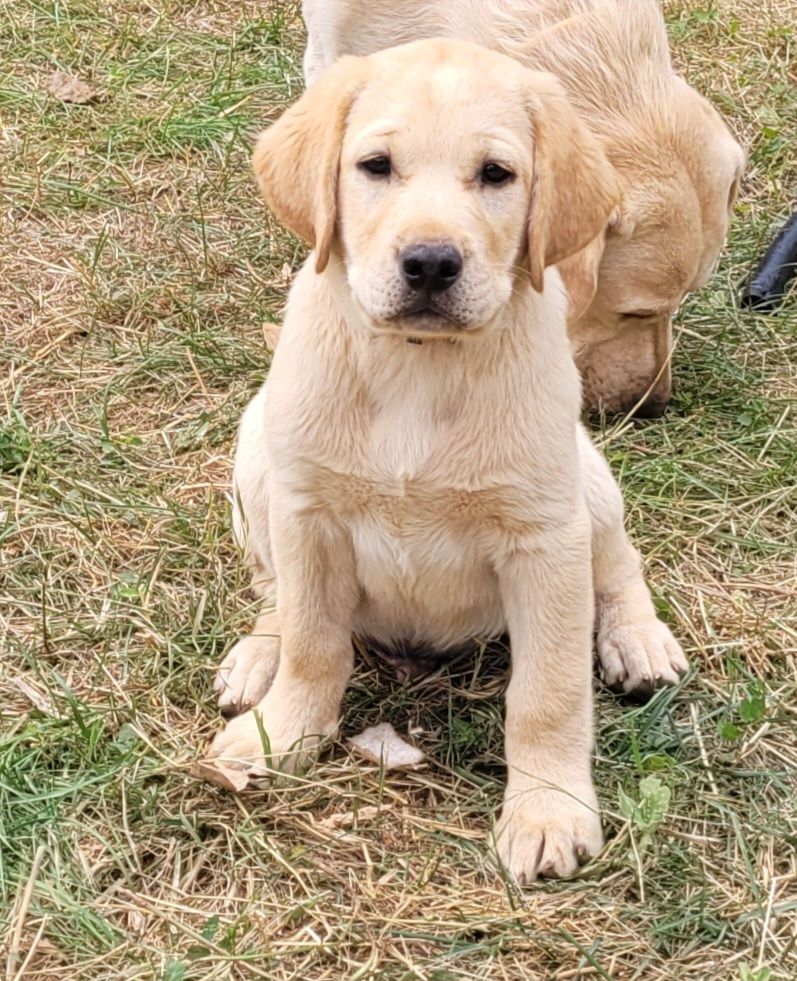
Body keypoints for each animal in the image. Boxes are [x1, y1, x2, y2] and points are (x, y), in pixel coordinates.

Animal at [208, 38, 688, 880]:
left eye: (495, 174)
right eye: (374, 166)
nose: (430, 263)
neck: (416, 365)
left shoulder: (543, 539)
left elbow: (548, 694)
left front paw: (547, 809)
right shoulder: (308, 514)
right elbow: (311, 641)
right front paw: (282, 730)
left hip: (584, 483)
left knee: (618, 562)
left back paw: (637, 637)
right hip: (257, 454)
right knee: (277, 594)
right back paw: (256, 656)